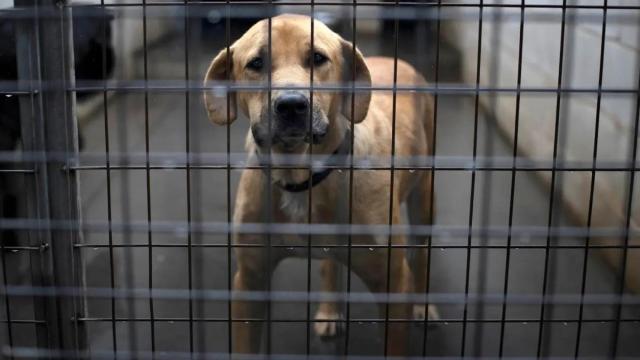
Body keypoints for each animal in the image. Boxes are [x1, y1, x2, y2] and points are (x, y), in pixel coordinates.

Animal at [204, 14, 436, 358]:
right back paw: (330, 309)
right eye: (256, 63)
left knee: (421, 253)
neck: (299, 176)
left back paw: (424, 306)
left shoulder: (393, 282)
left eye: (317, 58)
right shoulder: (249, 281)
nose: (291, 105)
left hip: (424, 202)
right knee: (330, 264)